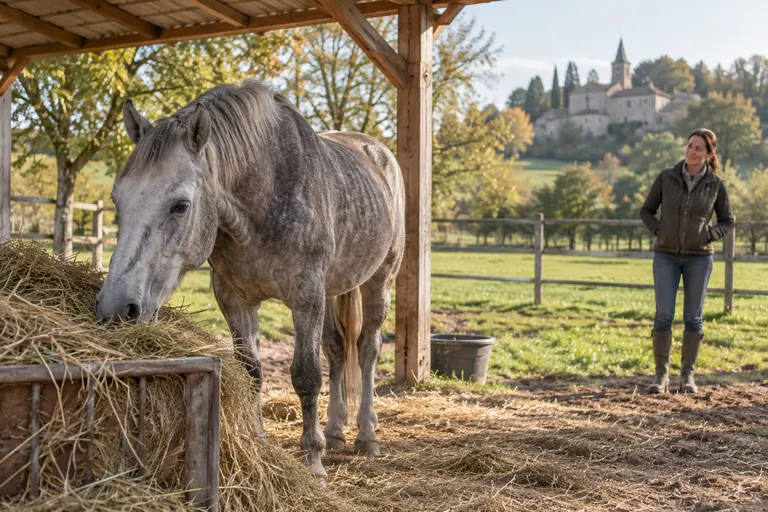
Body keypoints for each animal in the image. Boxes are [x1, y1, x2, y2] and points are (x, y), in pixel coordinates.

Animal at [95, 79, 405, 482]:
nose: (117, 308)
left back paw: (366, 436)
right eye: (118, 200)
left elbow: (306, 375)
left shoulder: (306, 296)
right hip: (334, 289)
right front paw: (259, 441)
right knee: (338, 350)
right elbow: (252, 371)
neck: (265, 193)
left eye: (180, 205)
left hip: (379, 281)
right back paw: (336, 431)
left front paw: (313, 462)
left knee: (367, 350)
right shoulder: (234, 297)